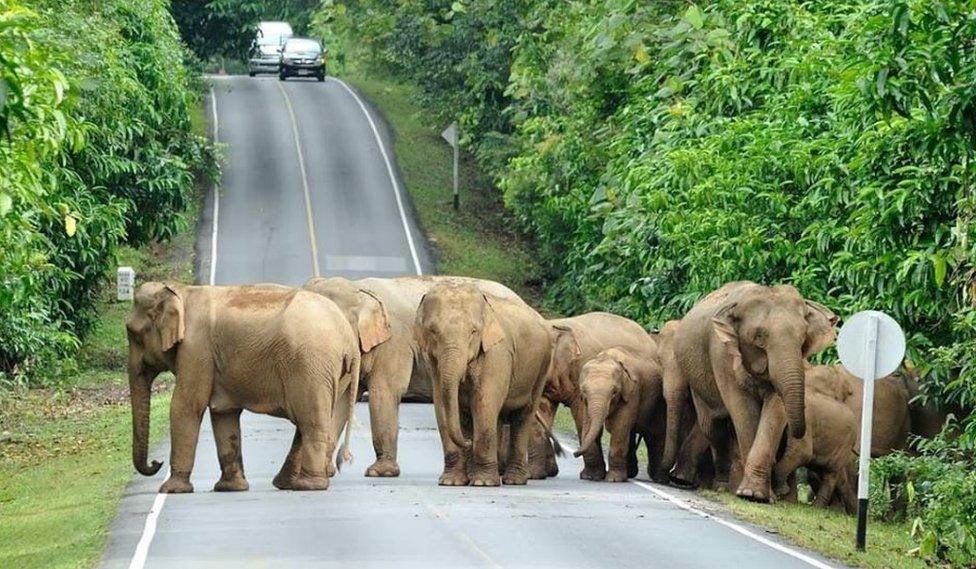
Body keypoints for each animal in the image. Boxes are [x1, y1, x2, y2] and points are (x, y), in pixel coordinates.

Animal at [304, 272, 528, 478]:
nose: (343, 461)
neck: (357, 289)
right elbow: (342, 400)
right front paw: (326, 471)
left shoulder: (394, 342)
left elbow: (385, 392)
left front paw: (380, 472)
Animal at [416, 282, 552, 486]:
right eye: (433, 331)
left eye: (473, 332)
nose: (468, 442)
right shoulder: (433, 361)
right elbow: (441, 406)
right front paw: (451, 482)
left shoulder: (497, 353)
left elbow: (484, 404)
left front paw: (483, 483)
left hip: (541, 368)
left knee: (522, 416)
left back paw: (514, 481)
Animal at [528, 310, 660, 480]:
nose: (567, 453)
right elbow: (542, 412)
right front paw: (536, 475)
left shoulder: (580, 369)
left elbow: (581, 416)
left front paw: (591, 476)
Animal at [668, 282, 836, 500]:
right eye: (759, 337)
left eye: (803, 338)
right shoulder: (722, 353)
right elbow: (745, 411)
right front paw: (750, 494)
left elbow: (775, 409)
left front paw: (760, 495)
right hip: (697, 378)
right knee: (713, 427)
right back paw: (722, 486)